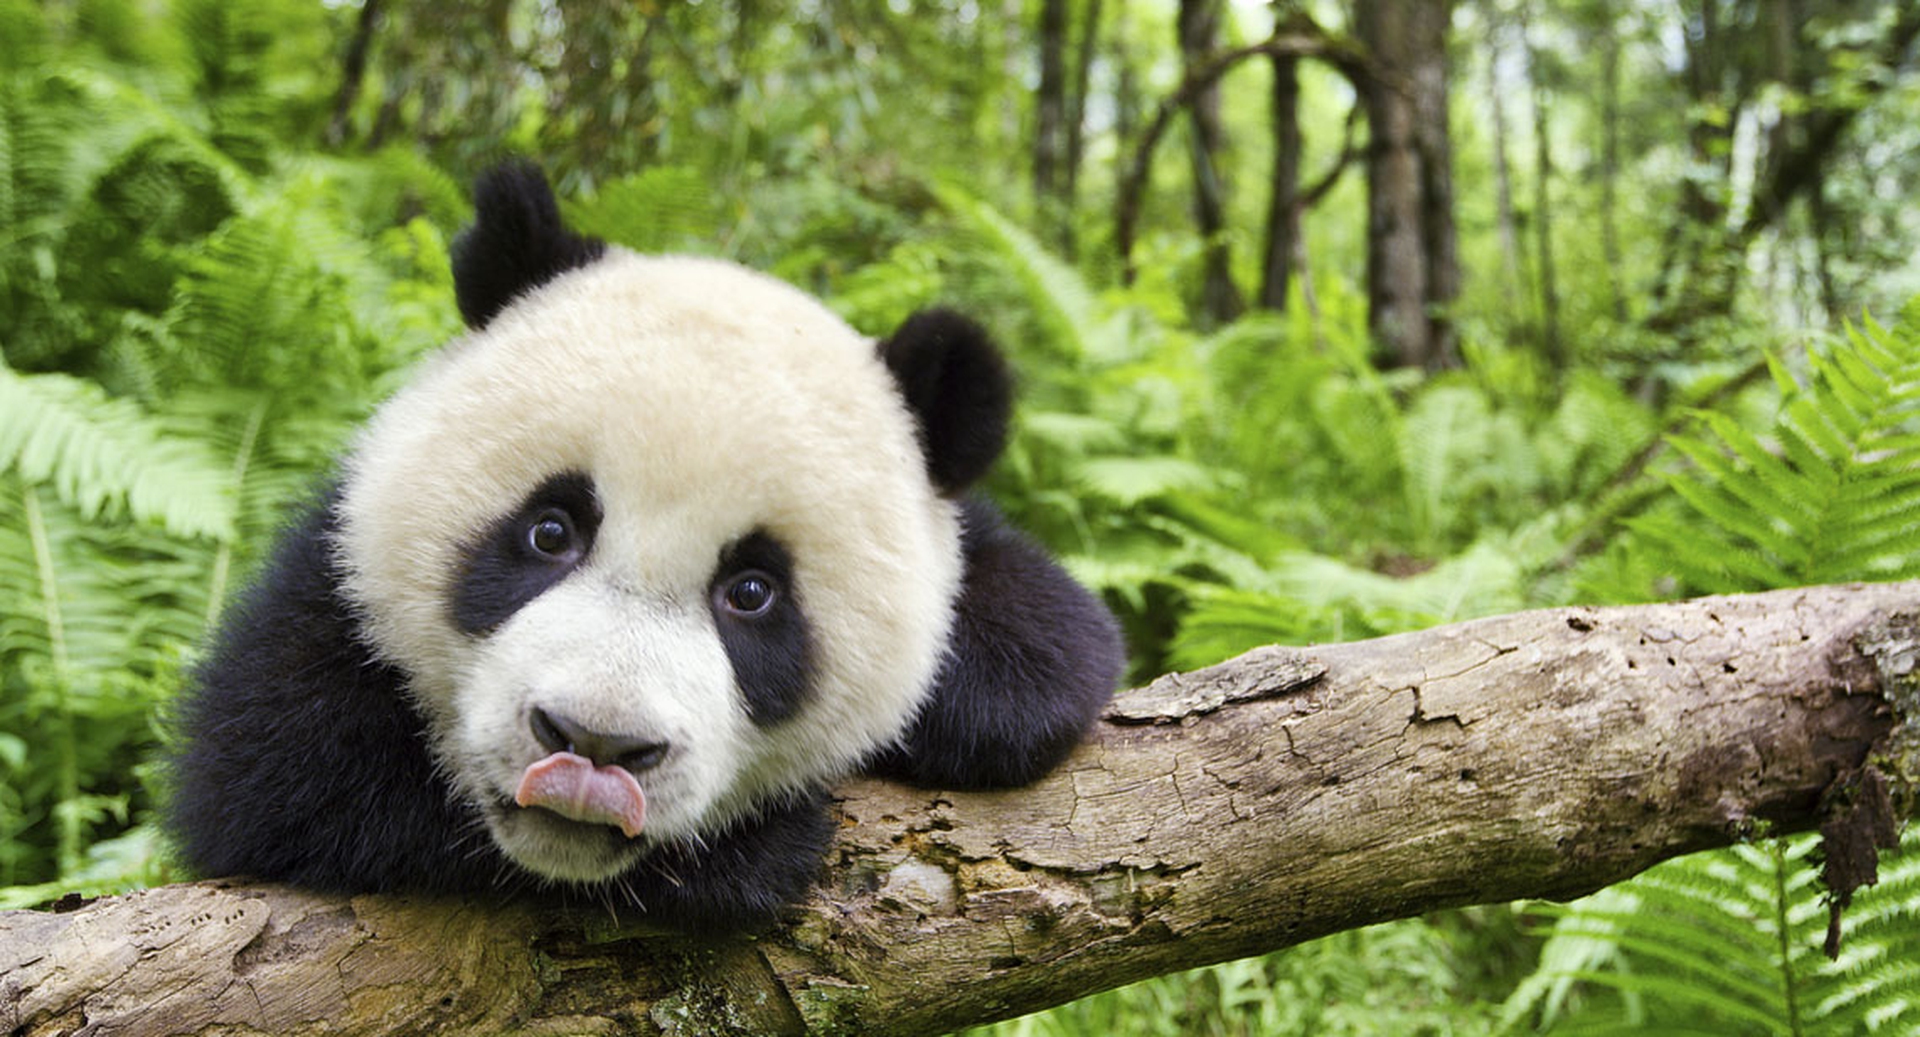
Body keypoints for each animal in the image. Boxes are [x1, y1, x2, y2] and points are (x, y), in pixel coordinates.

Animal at [166, 162, 1124, 931]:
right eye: (550, 531)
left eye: (752, 591)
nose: (595, 744)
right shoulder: (329, 590)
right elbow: (273, 773)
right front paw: (749, 854)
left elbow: (1052, 653)